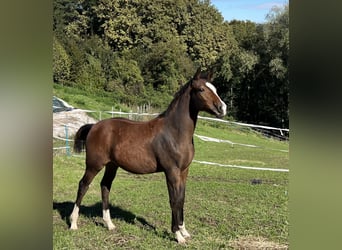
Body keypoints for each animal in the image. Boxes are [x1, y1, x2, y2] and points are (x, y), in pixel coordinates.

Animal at [69, 67, 227, 243]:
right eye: (201, 89)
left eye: (215, 89)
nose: (222, 108)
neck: (174, 132)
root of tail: (94, 126)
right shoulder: (171, 171)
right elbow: (174, 200)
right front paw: (178, 235)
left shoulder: (184, 171)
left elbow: (182, 199)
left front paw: (184, 230)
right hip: (94, 164)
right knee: (83, 185)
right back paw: (73, 224)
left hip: (112, 165)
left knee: (105, 186)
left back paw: (109, 224)